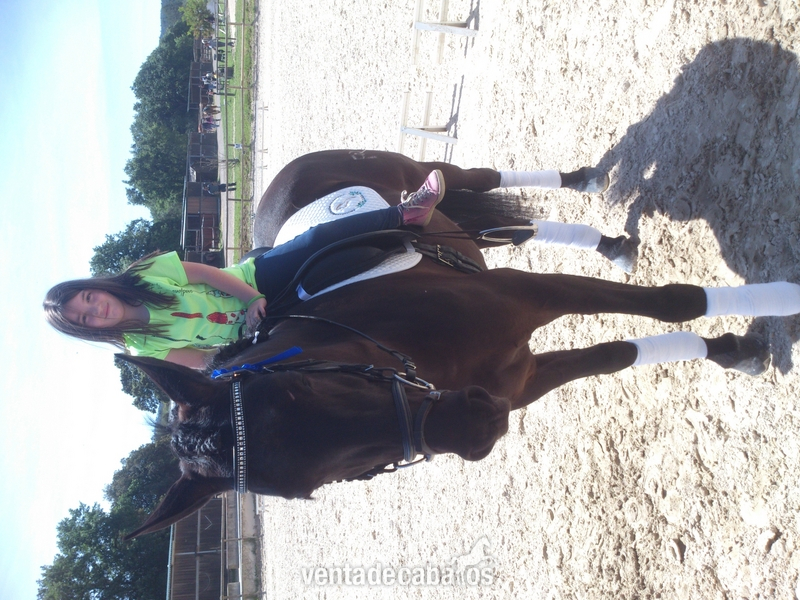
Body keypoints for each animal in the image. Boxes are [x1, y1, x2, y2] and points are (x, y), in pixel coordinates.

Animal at [119, 150, 795, 539]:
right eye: (310, 489)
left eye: (305, 385)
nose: (475, 428)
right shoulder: (523, 378)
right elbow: (616, 355)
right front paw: (732, 349)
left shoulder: (528, 295)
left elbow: (673, 302)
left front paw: (780, 301)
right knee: (513, 227)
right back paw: (607, 242)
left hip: (418, 174)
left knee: (483, 181)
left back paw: (586, 183)